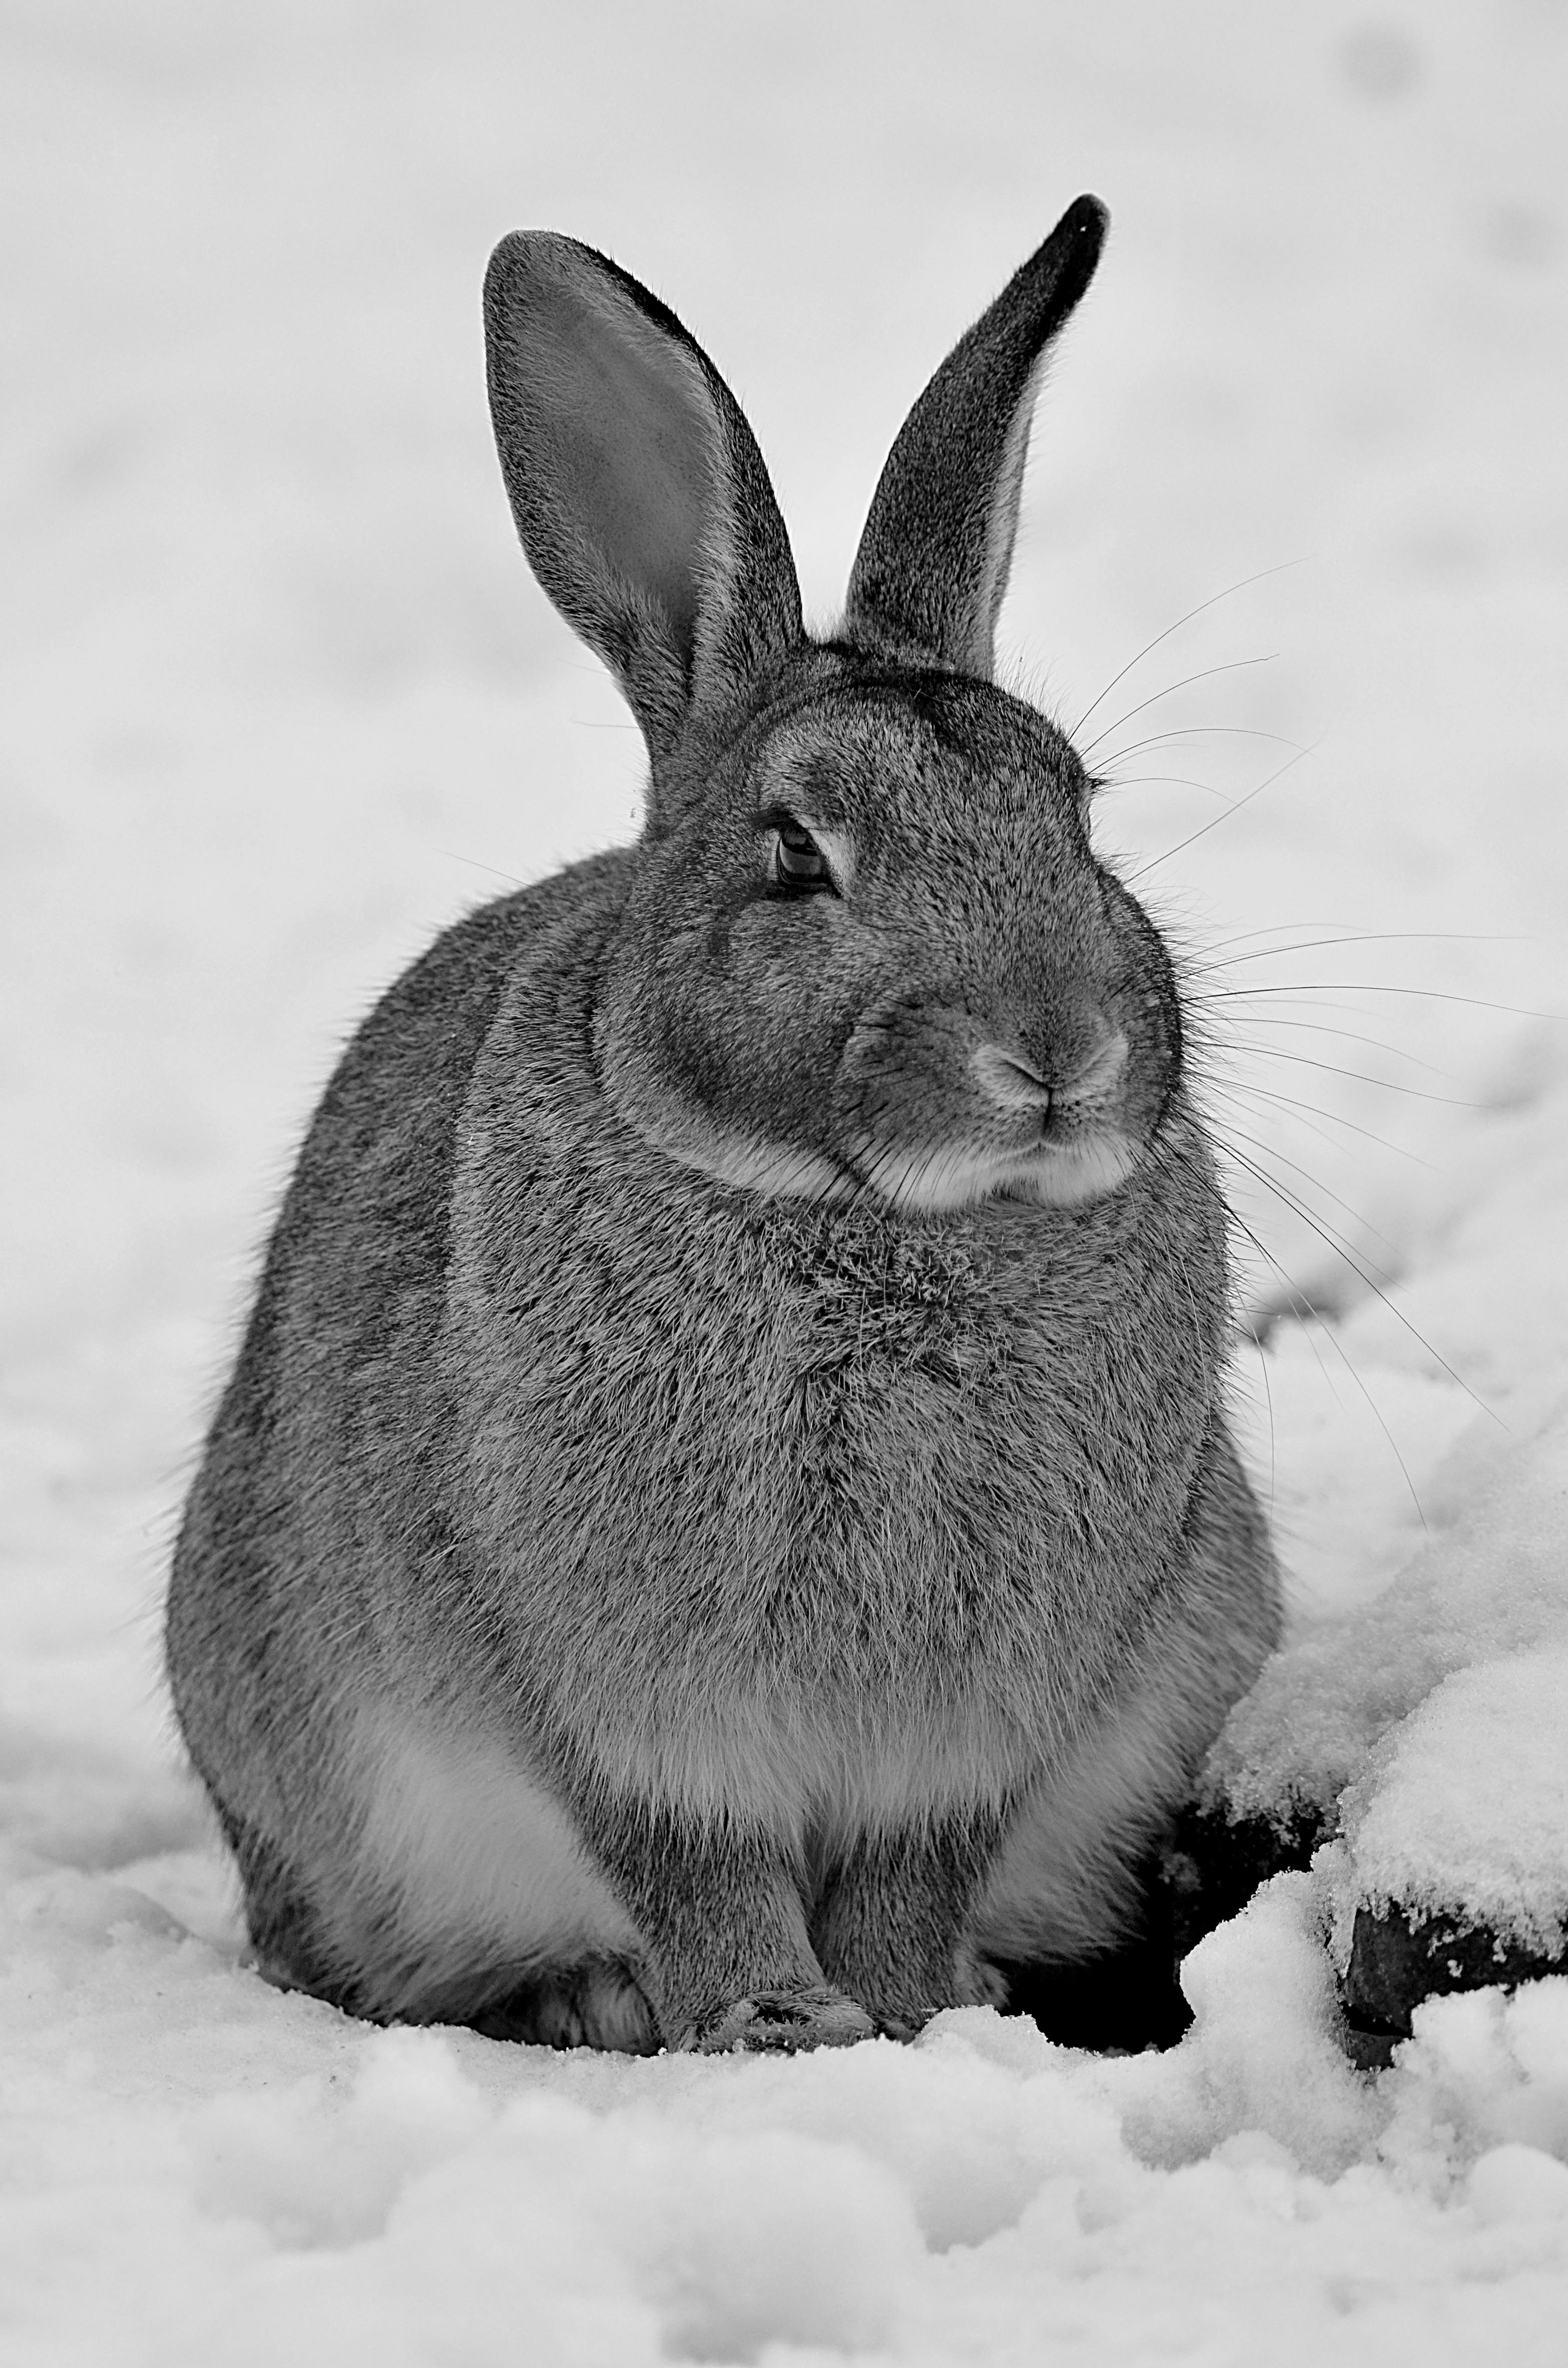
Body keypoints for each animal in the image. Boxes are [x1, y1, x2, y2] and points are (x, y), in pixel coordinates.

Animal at [166, 199, 1288, 2055]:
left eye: (1076, 814)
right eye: (793, 854)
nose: (1057, 1048)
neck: (881, 1218)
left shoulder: (986, 1723)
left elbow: (914, 1867)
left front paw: (916, 2013)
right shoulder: (613, 1703)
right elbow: (692, 1862)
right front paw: (774, 2022)